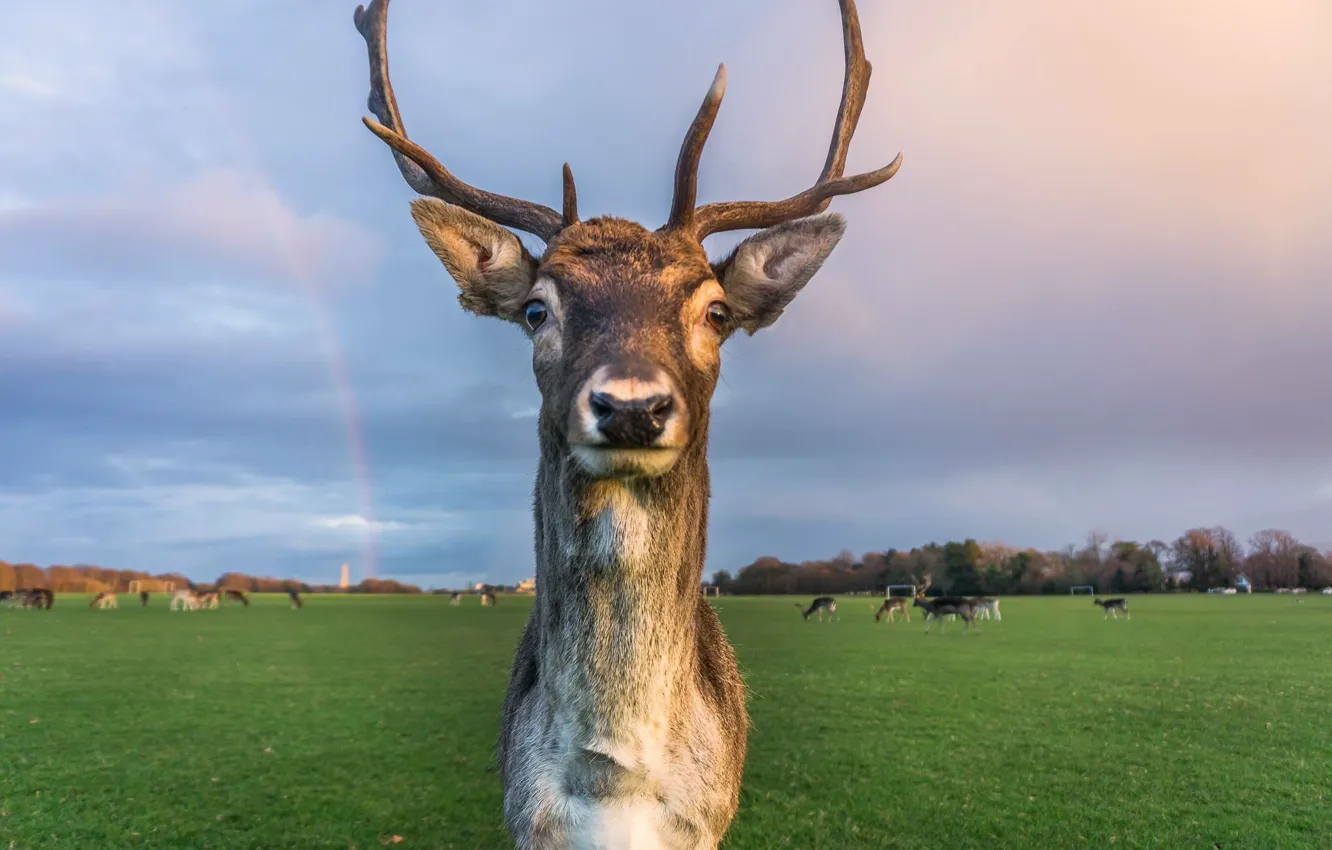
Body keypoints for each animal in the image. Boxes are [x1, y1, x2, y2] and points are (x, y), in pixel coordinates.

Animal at [352, 0, 900, 844]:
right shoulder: (523, 819)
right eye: (536, 309)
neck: (615, 784)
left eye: (716, 311)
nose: (633, 407)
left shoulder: (711, 819)